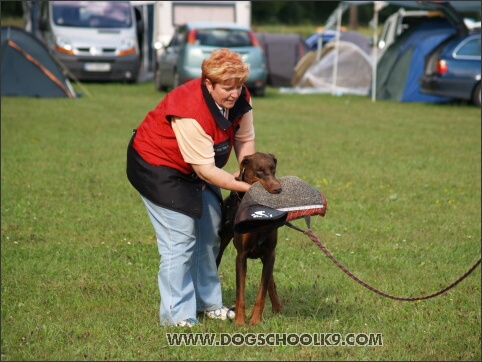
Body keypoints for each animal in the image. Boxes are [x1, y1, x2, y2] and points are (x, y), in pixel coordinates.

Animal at [217, 151, 284, 326]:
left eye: (273, 169)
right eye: (259, 170)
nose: (278, 189)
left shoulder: (269, 253)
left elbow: (263, 291)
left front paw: (255, 321)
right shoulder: (241, 256)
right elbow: (240, 293)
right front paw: (240, 322)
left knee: (269, 281)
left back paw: (278, 307)